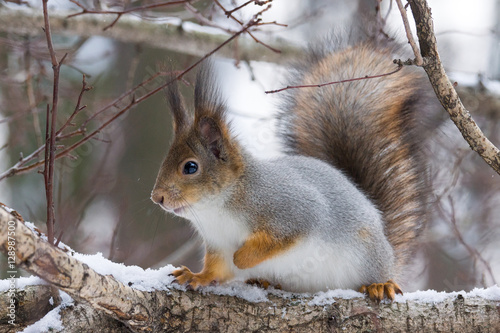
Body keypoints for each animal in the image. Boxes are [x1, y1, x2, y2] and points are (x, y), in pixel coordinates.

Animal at [151, 31, 430, 300]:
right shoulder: (218, 243)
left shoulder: (292, 209)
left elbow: (283, 237)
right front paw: (196, 276)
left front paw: (243, 257)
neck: (217, 208)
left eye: (190, 167)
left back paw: (380, 284)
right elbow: (216, 269)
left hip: (368, 254)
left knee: (378, 273)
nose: (157, 197)